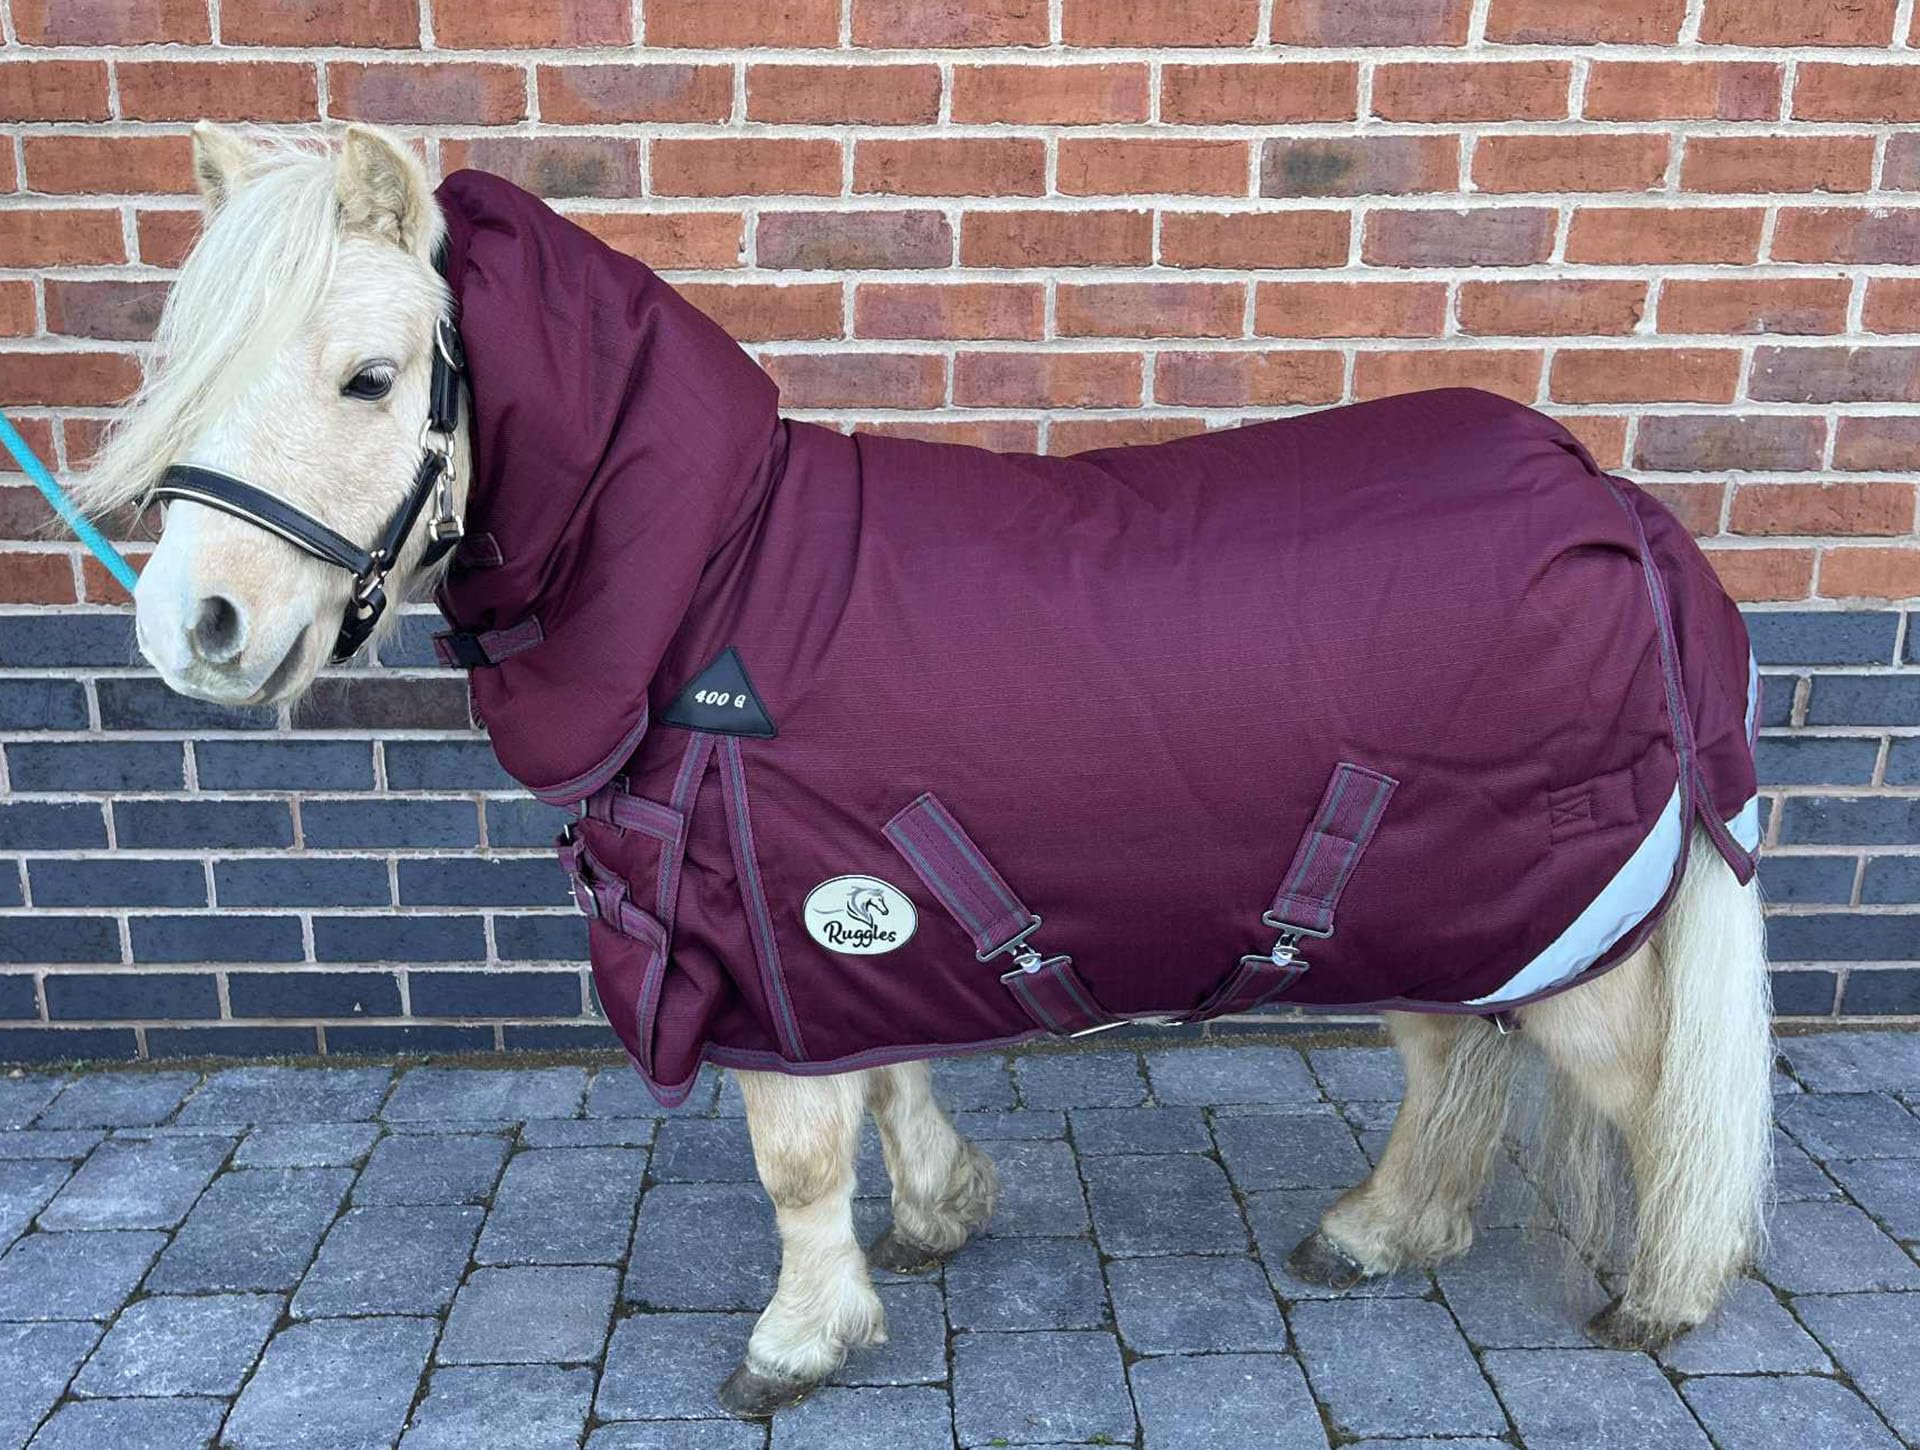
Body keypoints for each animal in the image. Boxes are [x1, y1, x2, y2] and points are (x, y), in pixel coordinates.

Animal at [86, 124, 1773, 1418]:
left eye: (372, 379)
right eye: (188, 373)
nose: (194, 625)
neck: (708, 587)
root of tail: (1616, 506)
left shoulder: (764, 931)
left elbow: (795, 1158)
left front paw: (796, 1340)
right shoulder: (833, 921)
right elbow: (888, 1088)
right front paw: (933, 1220)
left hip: (1556, 923)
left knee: (1649, 1099)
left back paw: (1664, 1296)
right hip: (1442, 902)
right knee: (1453, 1062)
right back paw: (1378, 1230)